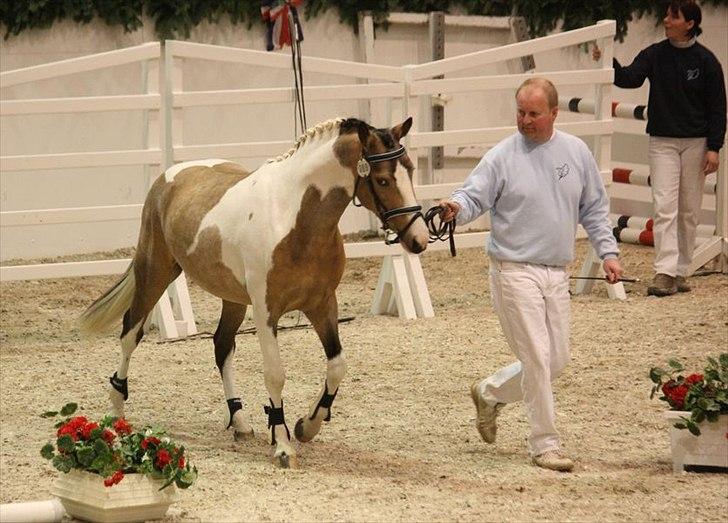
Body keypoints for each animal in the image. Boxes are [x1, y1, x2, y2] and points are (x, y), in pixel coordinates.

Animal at [77, 116, 430, 468]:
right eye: (383, 180)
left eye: (411, 169)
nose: (419, 239)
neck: (293, 219)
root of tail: (168, 176)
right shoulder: (265, 312)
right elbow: (275, 374)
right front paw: (284, 445)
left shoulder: (322, 305)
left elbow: (337, 367)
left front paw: (306, 427)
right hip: (155, 273)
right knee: (130, 333)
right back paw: (116, 410)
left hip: (231, 298)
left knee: (222, 345)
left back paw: (240, 421)